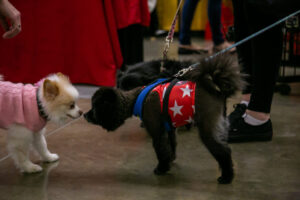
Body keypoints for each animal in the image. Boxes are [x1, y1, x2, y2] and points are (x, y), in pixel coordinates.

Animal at [84, 55, 244, 184]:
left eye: (95, 109)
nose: (85, 115)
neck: (136, 98)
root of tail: (218, 92)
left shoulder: (157, 131)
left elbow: (161, 150)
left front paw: (161, 168)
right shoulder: (170, 129)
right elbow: (170, 147)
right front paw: (170, 162)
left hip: (207, 129)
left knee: (223, 152)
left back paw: (227, 177)